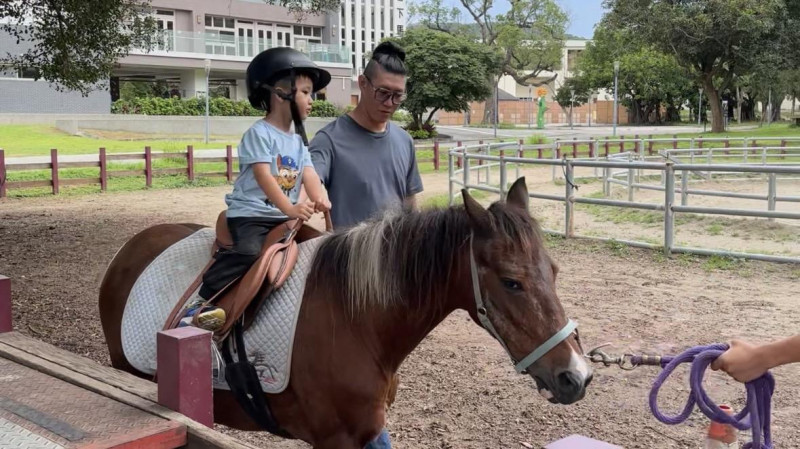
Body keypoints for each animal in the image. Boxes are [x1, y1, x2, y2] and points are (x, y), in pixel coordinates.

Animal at [97, 177, 592, 446]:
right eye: (511, 281)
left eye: (554, 271)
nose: (576, 375)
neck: (358, 320)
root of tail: (131, 248)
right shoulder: (335, 440)